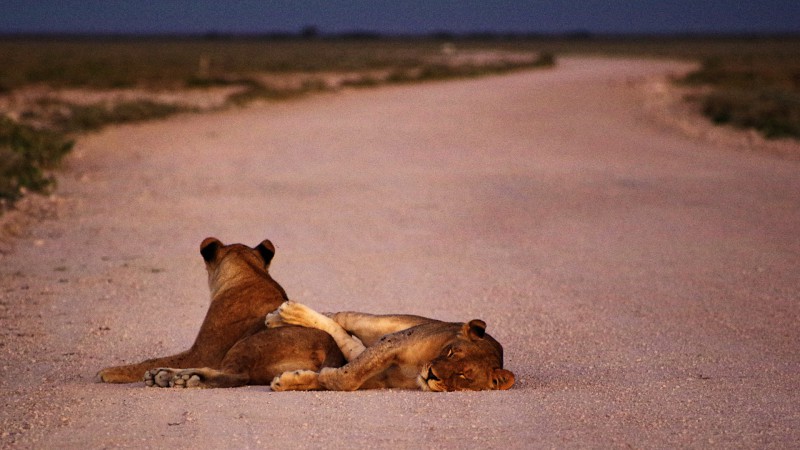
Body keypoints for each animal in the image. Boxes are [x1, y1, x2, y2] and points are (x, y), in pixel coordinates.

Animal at [94, 237, 344, 388]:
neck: (252, 273)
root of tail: (331, 350)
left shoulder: (201, 353)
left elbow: (148, 360)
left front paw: (109, 371)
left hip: (248, 344)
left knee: (236, 376)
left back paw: (176, 377)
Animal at [266, 300, 516, 392]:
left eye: (463, 375)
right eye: (450, 351)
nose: (432, 374)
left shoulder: (381, 377)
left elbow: (346, 378)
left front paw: (291, 380)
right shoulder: (394, 342)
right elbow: (349, 376)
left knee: (345, 338)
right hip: (379, 324)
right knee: (337, 317)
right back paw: (281, 315)